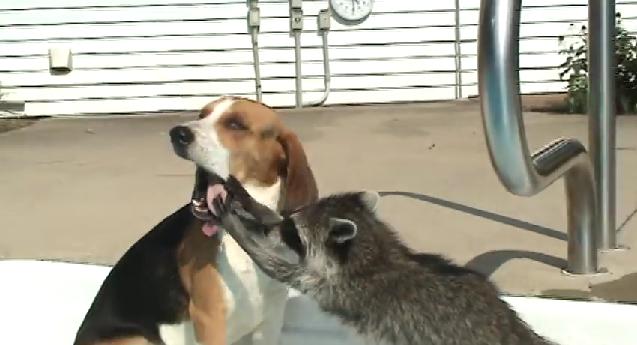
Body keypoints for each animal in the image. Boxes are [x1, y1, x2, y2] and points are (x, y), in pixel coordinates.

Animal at [74, 96, 318, 344]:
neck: (245, 231)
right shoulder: (209, 318)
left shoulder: (270, 320)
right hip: (139, 339)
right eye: (202, 115)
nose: (178, 133)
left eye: (236, 124)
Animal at [212, 176, 556, 342]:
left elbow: (275, 264)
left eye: (293, 231)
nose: (276, 227)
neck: (374, 250)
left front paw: (236, 225)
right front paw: (246, 201)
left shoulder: (336, 287)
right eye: (289, 222)